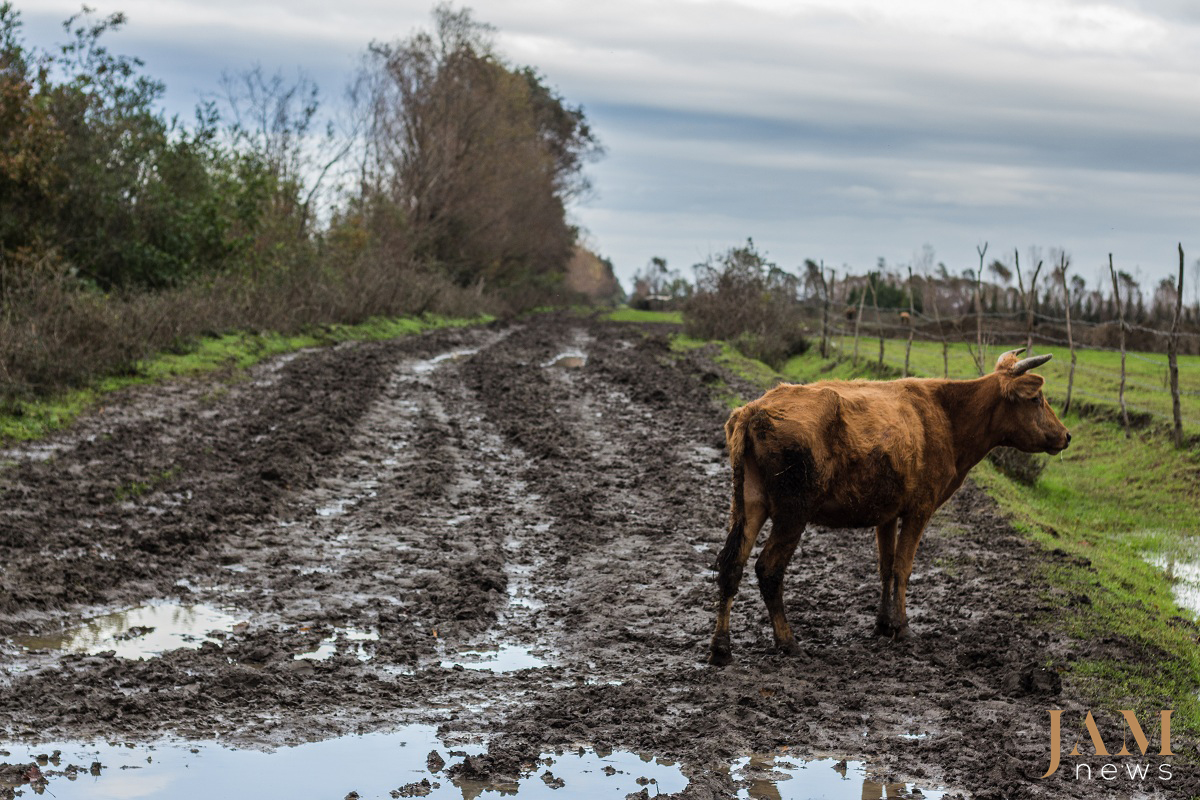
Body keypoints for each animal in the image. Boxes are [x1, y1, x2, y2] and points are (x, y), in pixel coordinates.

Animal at [700, 347, 1070, 666]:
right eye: (1036, 399)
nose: (1066, 435)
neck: (947, 417)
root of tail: (753, 410)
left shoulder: (887, 513)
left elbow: (886, 567)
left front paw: (882, 623)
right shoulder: (920, 508)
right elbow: (903, 568)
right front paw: (902, 628)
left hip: (748, 504)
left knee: (731, 566)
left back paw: (721, 648)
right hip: (793, 513)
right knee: (768, 569)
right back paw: (788, 641)